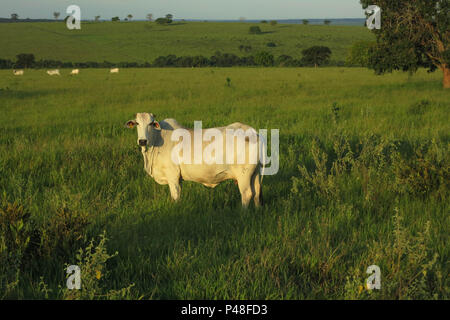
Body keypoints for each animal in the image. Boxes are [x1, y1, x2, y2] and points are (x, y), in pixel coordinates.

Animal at [126, 112, 266, 208]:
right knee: (257, 192)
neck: (157, 139)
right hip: (255, 174)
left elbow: (175, 197)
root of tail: (255, 133)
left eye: (151, 123)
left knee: (247, 194)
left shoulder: (172, 176)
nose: (142, 141)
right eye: (137, 123)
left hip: (243, 175)